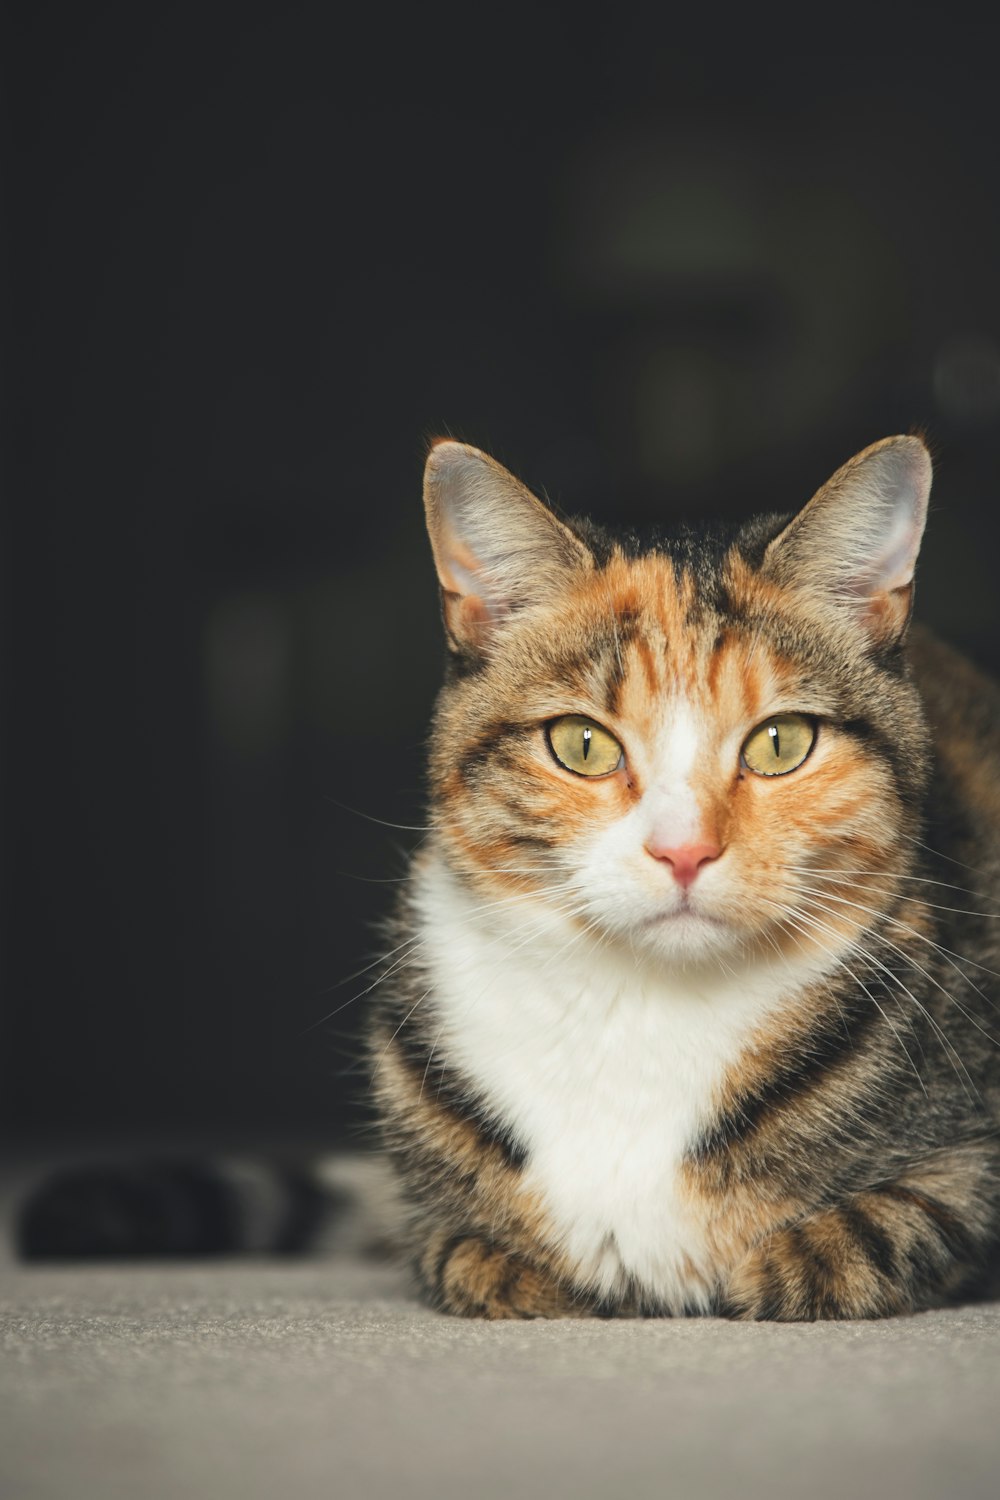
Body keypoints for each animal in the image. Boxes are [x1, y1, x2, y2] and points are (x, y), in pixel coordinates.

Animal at [370, 438, 1000, 1326]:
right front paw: (509, 1267)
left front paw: (788, 1260)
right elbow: (458, 1252)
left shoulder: (969, 1166)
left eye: (781, 742)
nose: (684, 851)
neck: (640, 1007)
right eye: (582, 744)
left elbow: (888, 1227)